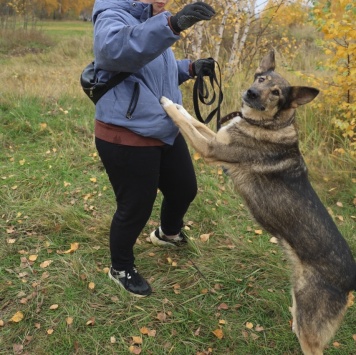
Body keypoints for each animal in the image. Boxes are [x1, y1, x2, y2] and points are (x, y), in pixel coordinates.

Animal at [161, 50, 356, 355]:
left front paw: (167, 103)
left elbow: (187, 124)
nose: (251, 93)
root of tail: (351, 280)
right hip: (298, 310)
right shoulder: (217, 139)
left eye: (276, 93)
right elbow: (194, 120)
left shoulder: (211, 149)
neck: (266, 123)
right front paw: (178, 104)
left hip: (309, 327)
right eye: (261, 78)